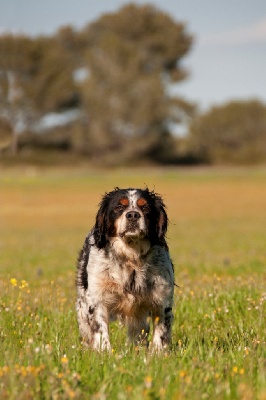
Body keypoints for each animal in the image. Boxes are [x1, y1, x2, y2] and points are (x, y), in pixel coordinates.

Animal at [76, 186, 175, 352]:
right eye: (119, 207)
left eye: (146, 208)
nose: (133, 214)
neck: (131, 257)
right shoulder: (97, 299)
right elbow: (100, 330)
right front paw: (104, 352)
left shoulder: (162, 300)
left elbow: (161, 333)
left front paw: (157, 354)